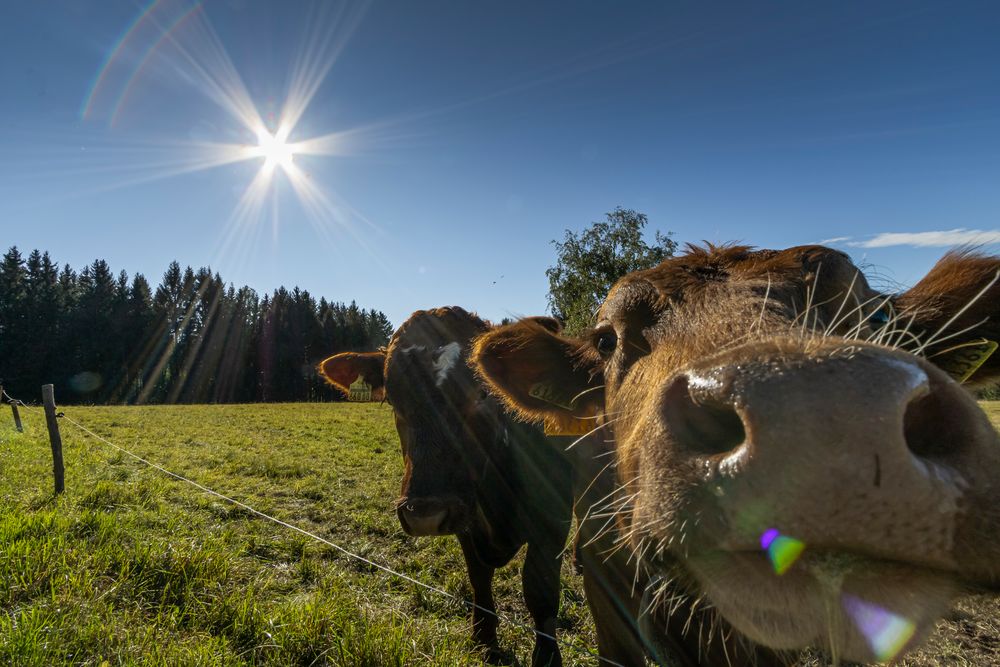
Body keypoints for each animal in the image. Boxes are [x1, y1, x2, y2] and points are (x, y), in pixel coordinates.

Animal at [316, 308, 576, 667]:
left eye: (482, 393)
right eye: (392, 399)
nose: (424, 514)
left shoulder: (552, 522)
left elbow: (541, 593)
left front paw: (548, 656)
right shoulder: (466, 520)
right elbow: (479, 579)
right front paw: (484, 639)